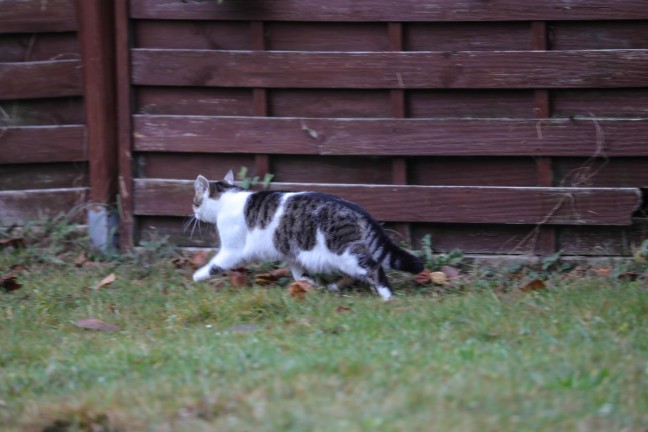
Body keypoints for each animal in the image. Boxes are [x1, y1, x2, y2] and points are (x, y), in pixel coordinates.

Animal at [191, 170, 426, 300]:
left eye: (195, 202)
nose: (193, 213)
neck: (226, 198)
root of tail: (358, 210)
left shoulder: (233, 250)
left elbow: (215, 265)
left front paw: (197, 276)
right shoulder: (291, 253)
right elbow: (298, 273)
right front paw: (307, 284)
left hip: (344, 252)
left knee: (373, 268)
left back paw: (387, 297)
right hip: (342, 257)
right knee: (354, 274)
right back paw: (333, 287)